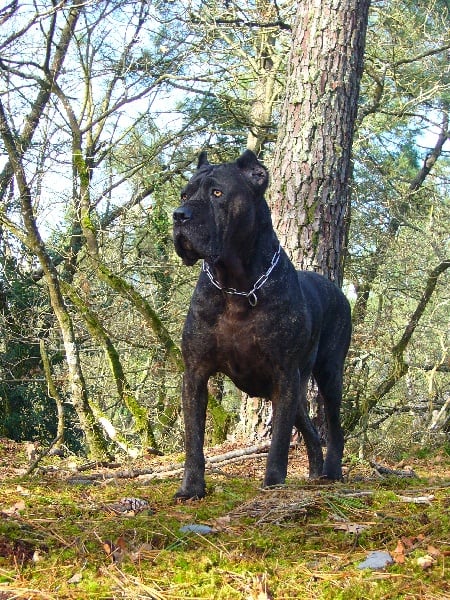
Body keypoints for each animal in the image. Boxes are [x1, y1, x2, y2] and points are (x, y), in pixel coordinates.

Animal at [172, 151, 352, 502]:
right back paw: (314, 471)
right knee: (310, 428)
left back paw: (332, 472)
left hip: (328, 376)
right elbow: (193, 439)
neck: (237, 286)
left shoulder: (284, 373)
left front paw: (273, 486)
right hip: (297, 389)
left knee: (334, 427)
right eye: (185, 195)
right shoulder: (195, 373)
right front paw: (191, 488)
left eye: (217, 194)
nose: (179, 215)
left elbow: (279, 441)